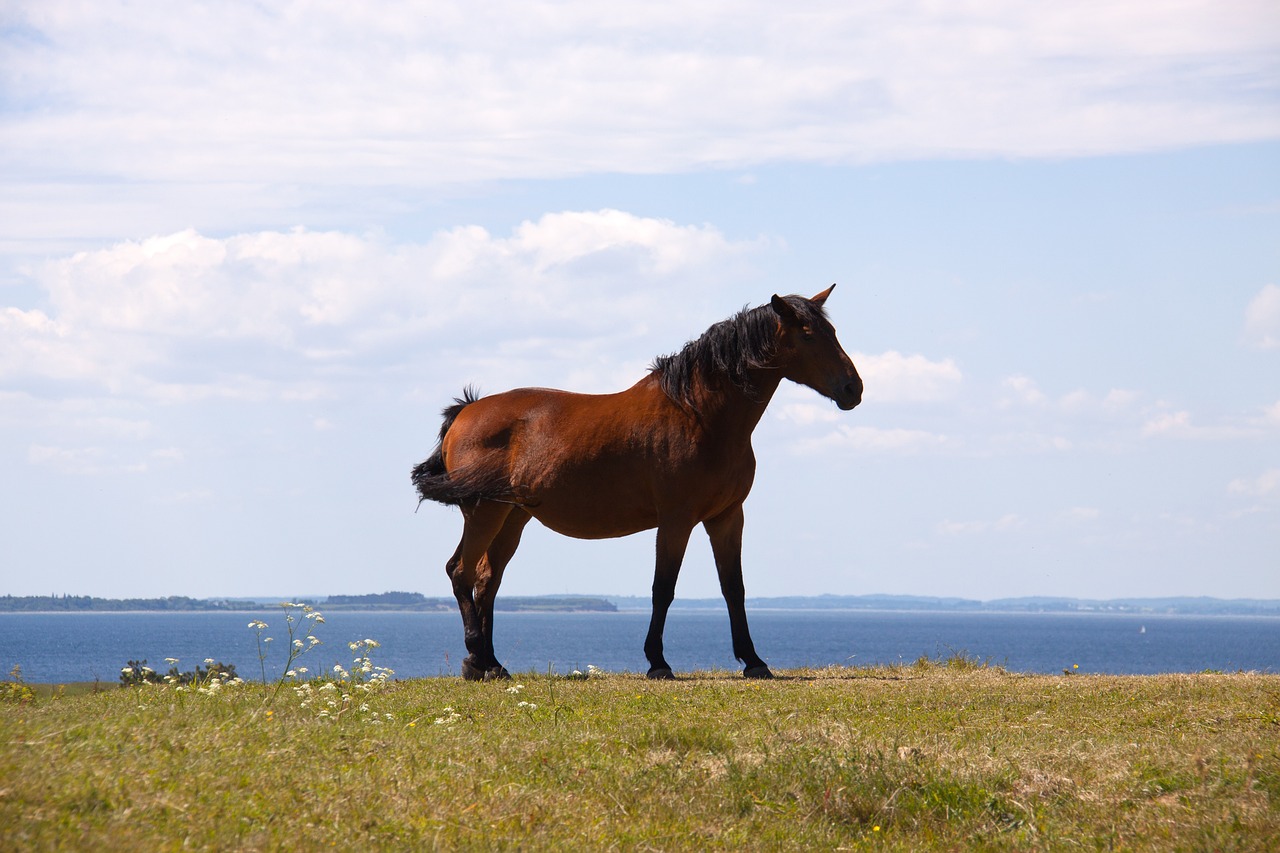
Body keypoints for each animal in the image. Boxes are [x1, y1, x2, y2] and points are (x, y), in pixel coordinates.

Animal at [414, 284, 865, 676]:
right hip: (484, 511)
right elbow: (662, 588)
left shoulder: (727, 517)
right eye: (808, 335)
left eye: (833, 332)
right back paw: (476, 656)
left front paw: (754, 661)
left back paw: (491, 664)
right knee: (461, 572)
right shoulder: (677, 520)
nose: (853, 388)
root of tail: (466, 411)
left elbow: (733, 587)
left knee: (487, 580)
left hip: (512, 517)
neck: (699, 416)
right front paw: (658, 662)